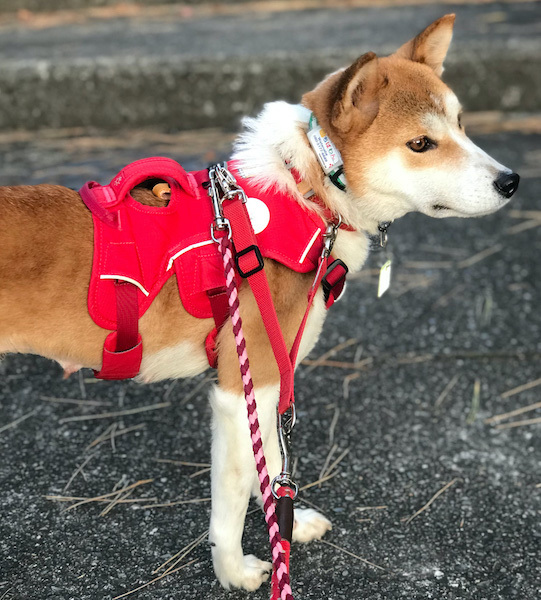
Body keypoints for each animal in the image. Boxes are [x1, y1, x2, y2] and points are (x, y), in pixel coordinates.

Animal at [0, 14, 519, 592]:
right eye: (421, 143)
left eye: (462, 124)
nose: (511, 181)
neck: (307, 195)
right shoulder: (240, 387)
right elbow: (230, 497)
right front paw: (234, 569)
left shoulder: (271, 378)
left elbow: (267, 459)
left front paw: (286, 520)